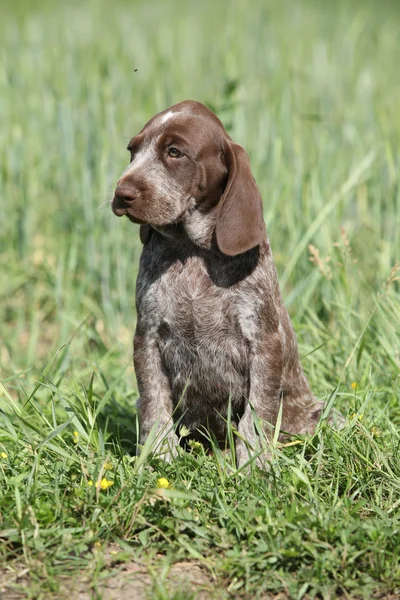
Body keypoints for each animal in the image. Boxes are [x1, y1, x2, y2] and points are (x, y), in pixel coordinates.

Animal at [111, 99, 328, 468]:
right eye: (132, 151)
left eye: (174, 152)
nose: (122, 194)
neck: (192, 251)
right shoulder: (148, 338)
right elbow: (154, 403)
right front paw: (158, 456)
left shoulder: (263, 342)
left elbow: (257, 411)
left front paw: (254, 463)